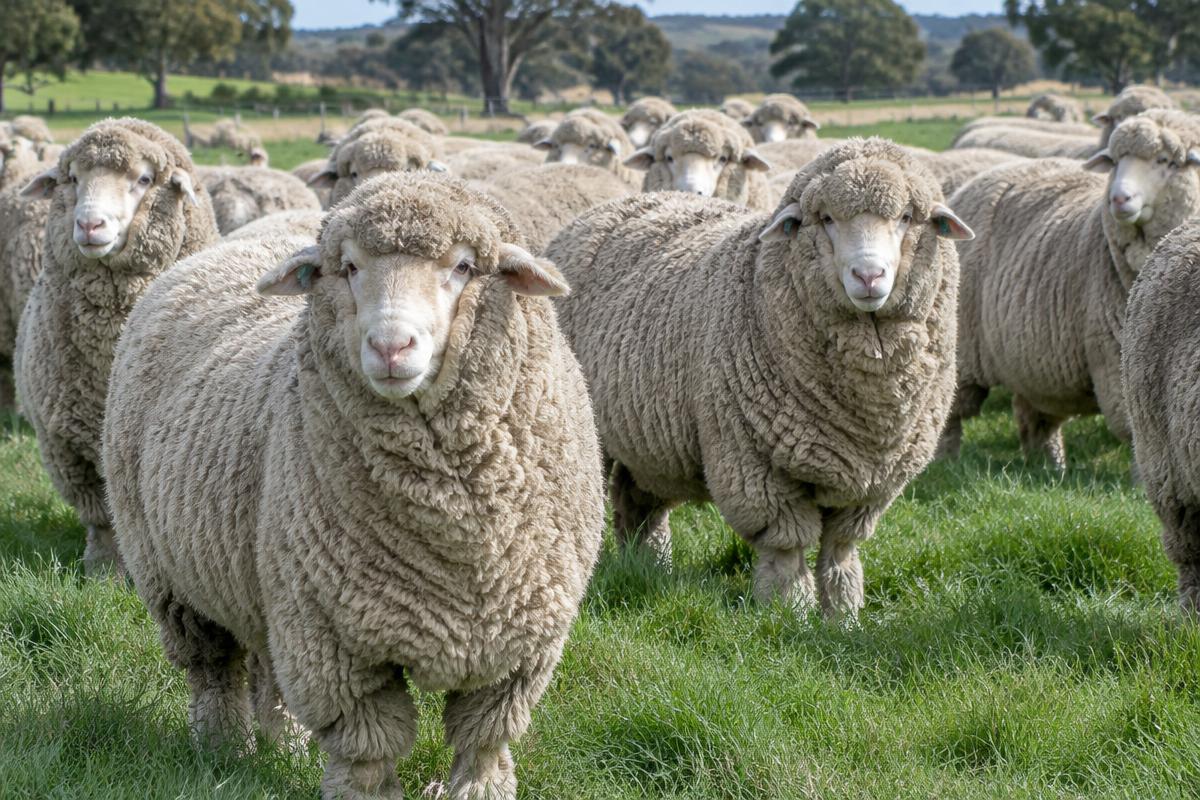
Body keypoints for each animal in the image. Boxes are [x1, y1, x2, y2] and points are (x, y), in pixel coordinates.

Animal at [14, 118, 220, 574]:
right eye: (73, 179)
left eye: (143, 179)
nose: (89, 225)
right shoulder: (66, 445)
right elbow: (101, 517)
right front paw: (104, 569)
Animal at [102, 172, 604, 800]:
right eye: (348, 267)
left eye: (465, 266)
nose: (391, 347)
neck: (456, 526)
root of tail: (221, 251)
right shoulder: (334, 643)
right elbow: (368, 747)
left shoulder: (519, 647)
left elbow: (485, 739)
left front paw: (480, 789)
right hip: (173, 579)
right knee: (214, 670)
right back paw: (224, 749)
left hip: (267, 584)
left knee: (267, 670)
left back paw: (285, 746)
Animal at [545, 138, 973, 620]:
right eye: (826, 219)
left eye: (905, 218)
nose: (868, 275)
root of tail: (609, 207)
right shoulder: (752, 460)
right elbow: (786, 546)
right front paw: (791, 613)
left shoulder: (873, 481)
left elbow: (840, 548)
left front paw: (844, 614)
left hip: (647, 437)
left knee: (638, 500)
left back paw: (649, 565)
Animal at [940, 109, 1200, 471]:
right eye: (1115, 161)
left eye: (1165, 161)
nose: (1118, 198)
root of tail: (975, 183)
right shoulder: (1115, 358)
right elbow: (1136, 431)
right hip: (963, 348)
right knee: (951, 411)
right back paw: (944, 463)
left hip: (1030, 358)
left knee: (1034, 415)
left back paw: (1049, 466)